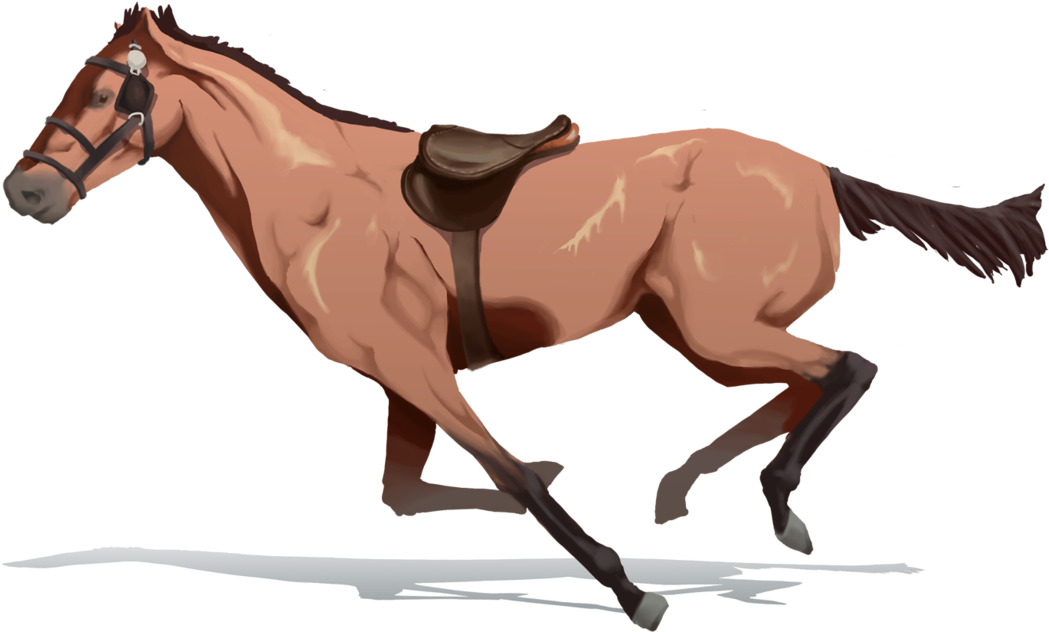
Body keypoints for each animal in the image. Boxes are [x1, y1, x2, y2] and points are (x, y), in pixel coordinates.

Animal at [5, 5, 1044, 630]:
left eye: (116, 90)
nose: (25, 192)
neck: (313, 198)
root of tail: (817, 171)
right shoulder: (402, 376)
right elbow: (413, 494)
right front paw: (570, 489)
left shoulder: (417, 366)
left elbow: (506, 473)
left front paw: (631, 592)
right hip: (691, 326)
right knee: (804, 382)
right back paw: (695, 490)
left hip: (708, 324)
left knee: (845, 367)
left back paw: (777, 506)